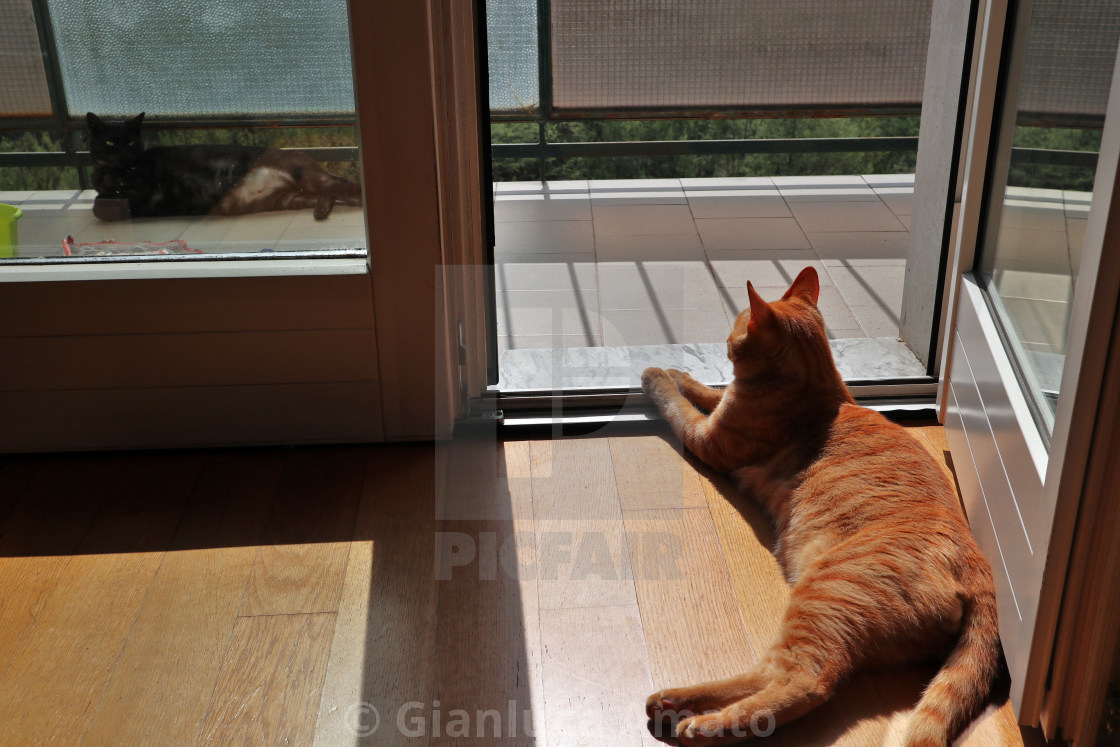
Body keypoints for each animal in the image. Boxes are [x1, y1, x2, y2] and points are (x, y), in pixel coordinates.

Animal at [91, 110, 365, 221]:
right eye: (109, 142)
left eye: (129, 141)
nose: (122, 155)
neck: (113, 173)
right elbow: (101, 202)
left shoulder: (141, 189)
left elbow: (102, 203)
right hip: (291, 199)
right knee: (331, 194)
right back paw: (322, 209)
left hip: (305, 177)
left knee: (344, 186)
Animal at [645, 268, 1003, 747]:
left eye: (737, 327)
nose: (724, 342)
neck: (824, 392)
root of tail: (979, 565)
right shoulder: (721, 411)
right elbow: (707, 391)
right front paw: (678, 370)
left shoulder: (710, 441)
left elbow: (677, 407)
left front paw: (656, 375)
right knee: (770, 672)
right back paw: (673, 701)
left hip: (822, 595)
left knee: (803, 681)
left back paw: (698, 722)